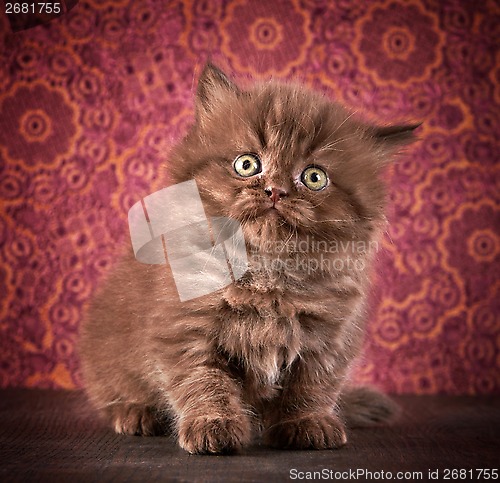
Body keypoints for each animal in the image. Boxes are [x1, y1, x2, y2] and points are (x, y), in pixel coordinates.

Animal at [80, 63, 420, 454]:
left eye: (314, 177)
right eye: (247, 164)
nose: (276, 190)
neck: (266, 272)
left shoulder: (328, 336)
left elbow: (312, 385)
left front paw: (306, 423)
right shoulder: (184, 328)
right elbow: (204, 381)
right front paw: (213, 425)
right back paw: (136, 413)